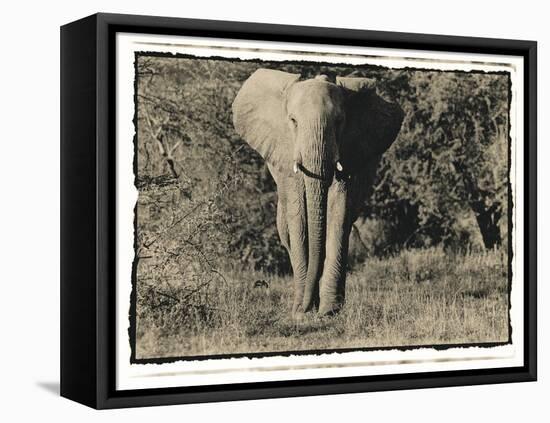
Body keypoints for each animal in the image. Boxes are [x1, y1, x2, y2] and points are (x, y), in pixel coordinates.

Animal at [233, 68, 406, 316]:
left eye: (339, 121)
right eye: (293, 121)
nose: (306, 308)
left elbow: (339, 207)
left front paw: (328, 311)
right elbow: (298, 215)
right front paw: (301, 311)